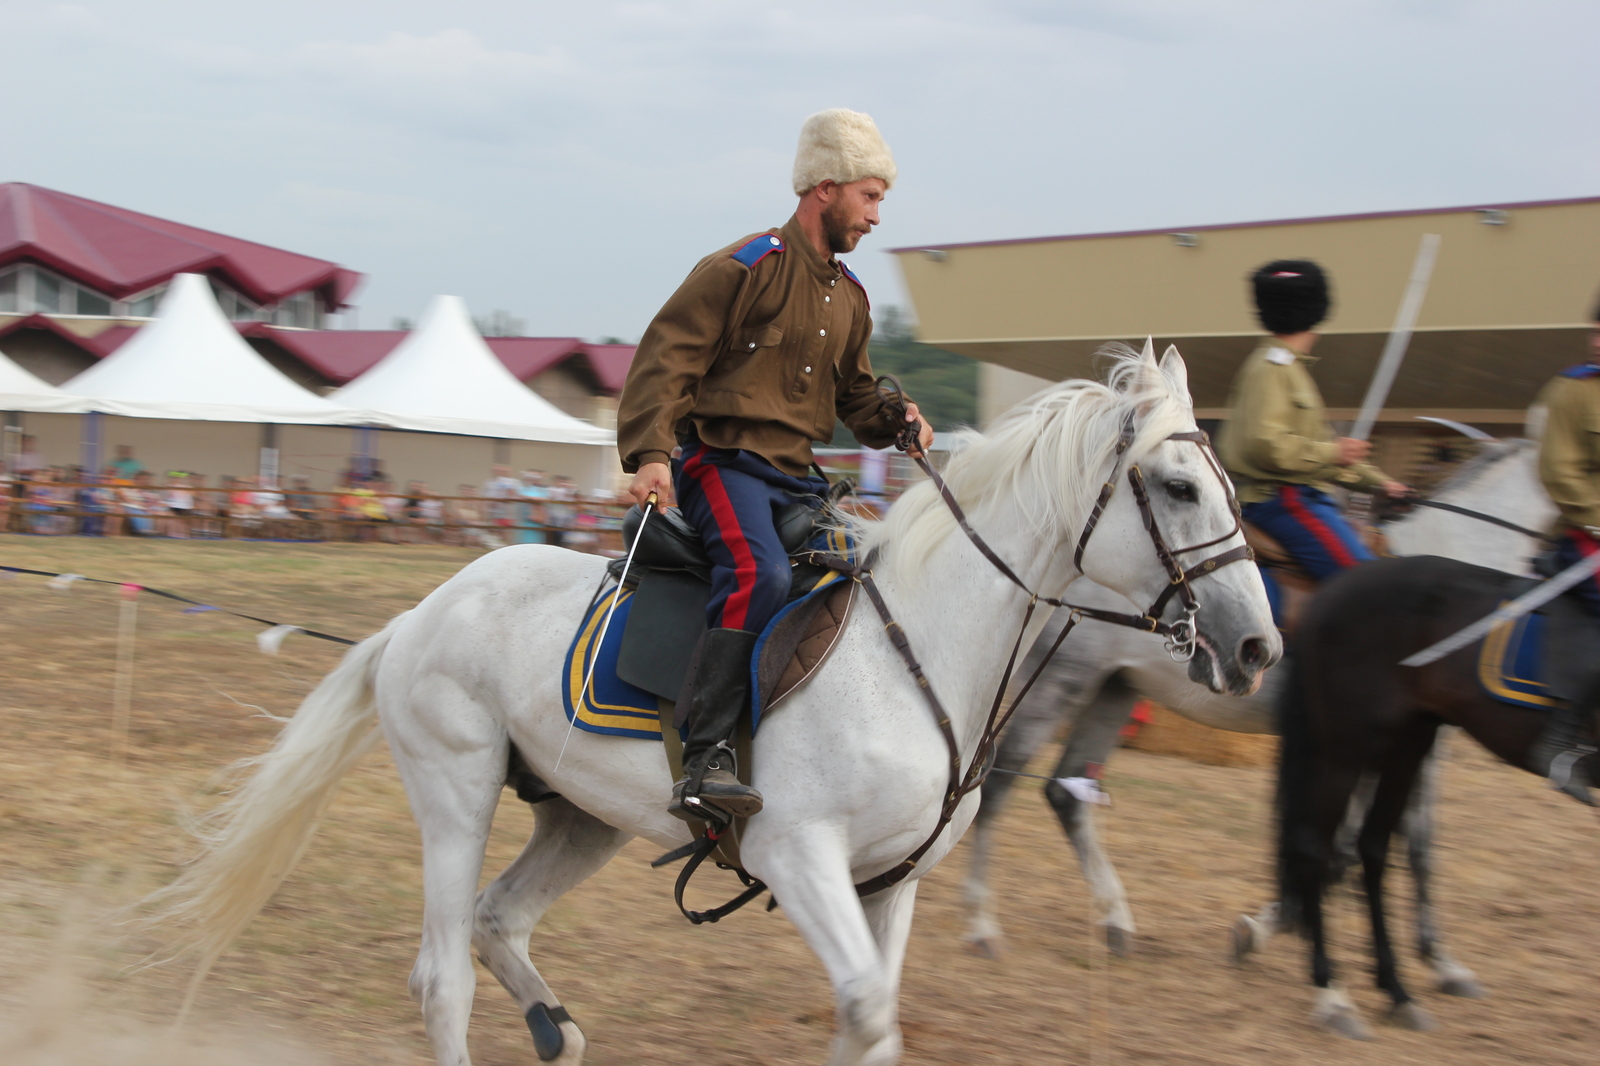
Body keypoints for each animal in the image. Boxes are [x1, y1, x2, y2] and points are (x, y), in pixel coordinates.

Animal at [147, 342, 1273, 1062]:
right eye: (1178, 487)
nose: (1258, 645)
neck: (917, 649)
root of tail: (423, 611)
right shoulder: (802, 857)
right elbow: (863, 1010)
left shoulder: (888, 885)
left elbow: (870, 1023)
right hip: (455, 795)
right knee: (443, 978)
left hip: (582, 818)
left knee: (499, 924)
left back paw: (558, 1030)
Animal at [960, 432, 1548, 985]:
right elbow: (1382, 844)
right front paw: (1276, 926)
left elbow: (1402, 844)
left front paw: (1435, 959)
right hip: (1063, 681)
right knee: (1001, 782)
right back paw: (983, 922)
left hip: (1114, 690)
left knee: (1067, 793)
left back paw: (1116, 919)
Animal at [1267, 550, 1593, 1030]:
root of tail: (1334, 591)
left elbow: (1414, 849)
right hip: (1346, 747)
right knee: (1316, 847)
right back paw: (1332, 992)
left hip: (1406, 743)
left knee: (1370, 848)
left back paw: (1396, 989)